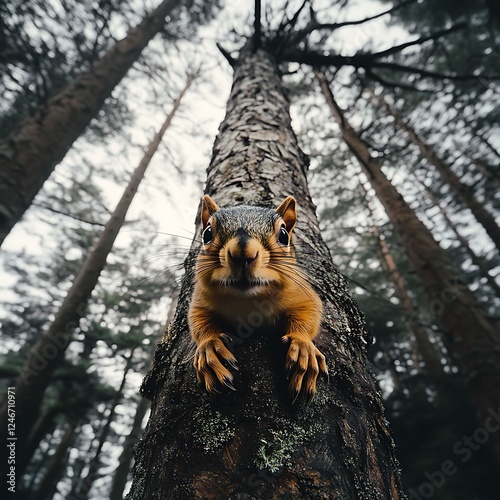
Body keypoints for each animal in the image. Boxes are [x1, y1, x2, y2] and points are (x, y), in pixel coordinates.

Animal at [188, 195, 328, 402]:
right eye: (206, 234)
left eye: (284, 235)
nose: (243, 253)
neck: (247, 302)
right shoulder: (200, 299)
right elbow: (198, 322)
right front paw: (210, 348)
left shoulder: (301, 292)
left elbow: (309, 312)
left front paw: (303, 347)